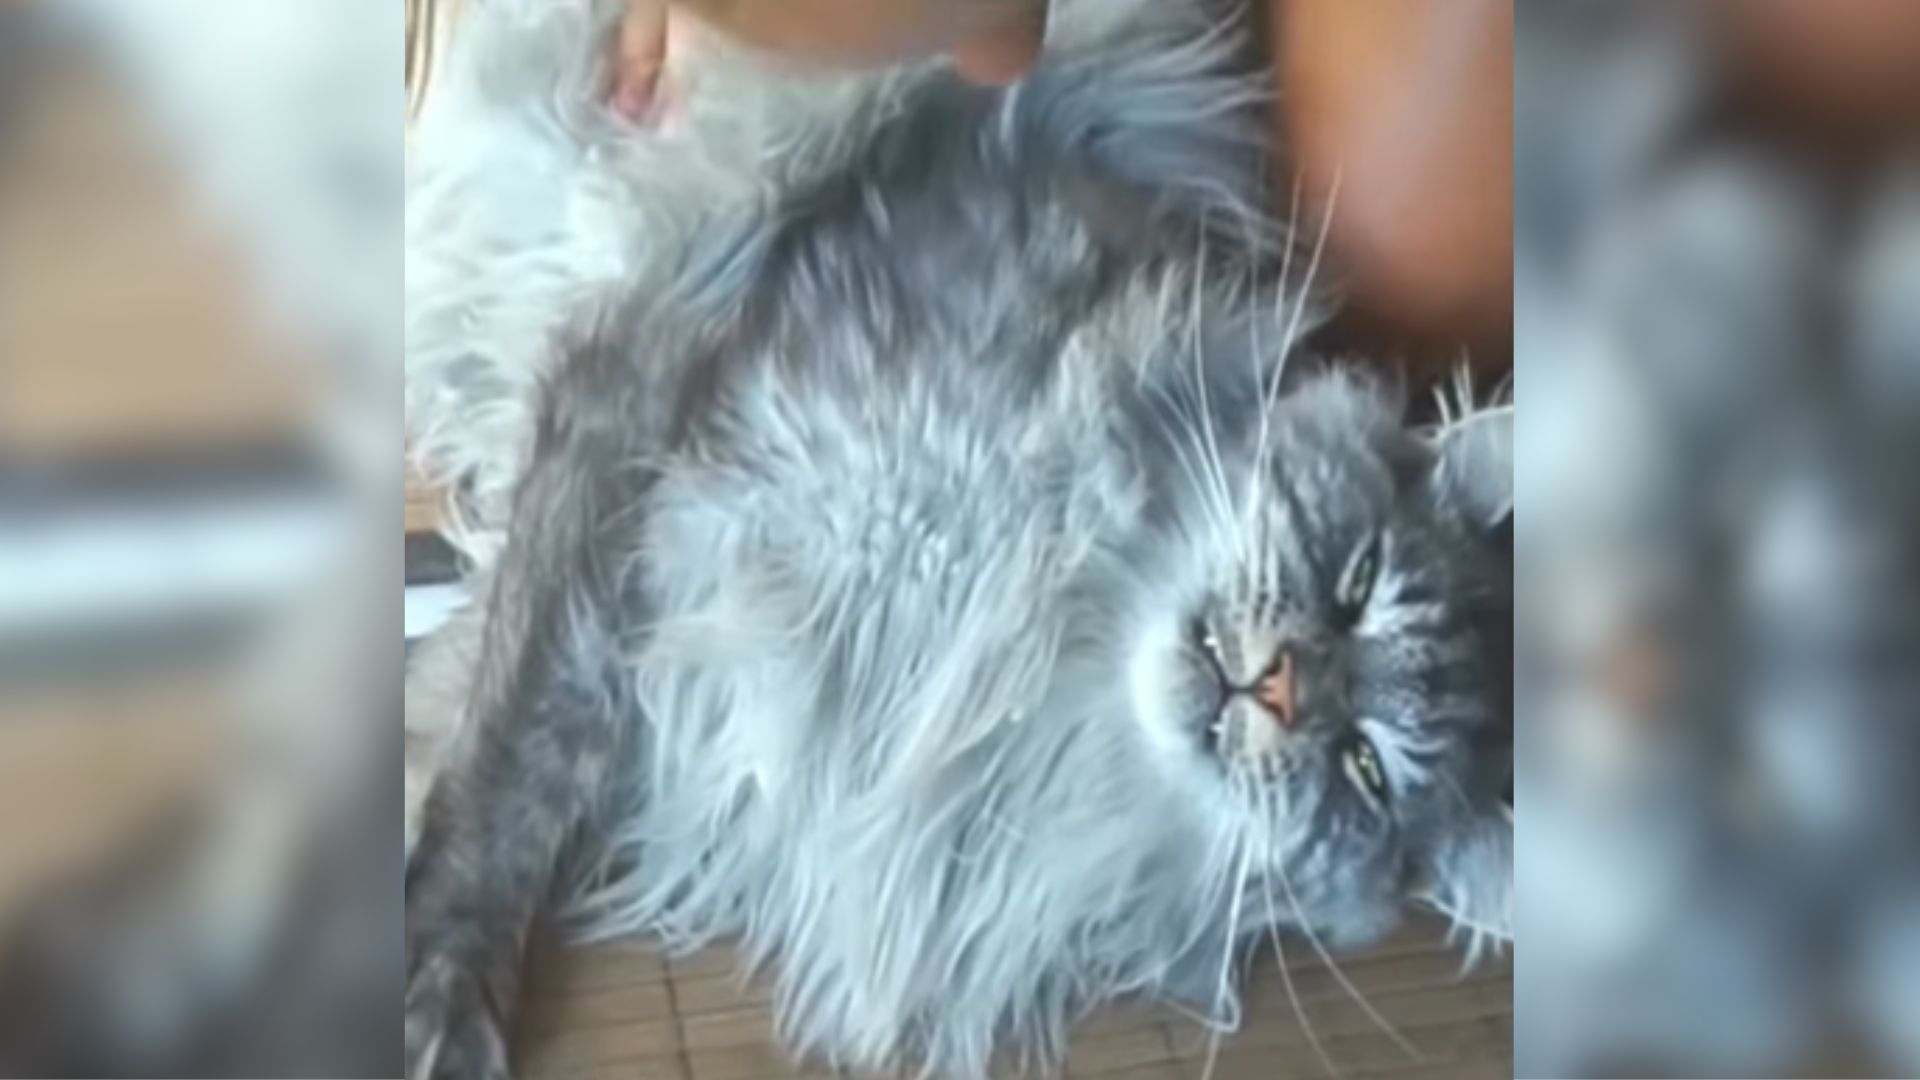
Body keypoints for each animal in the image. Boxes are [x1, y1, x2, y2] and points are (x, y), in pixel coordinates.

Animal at [404, 2, 1513, 1077]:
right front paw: (442, 986)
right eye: (1358, 579)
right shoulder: (648, 386)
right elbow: (523, 743)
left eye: (1365, 772)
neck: (1031, 603)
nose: (1279, 685)